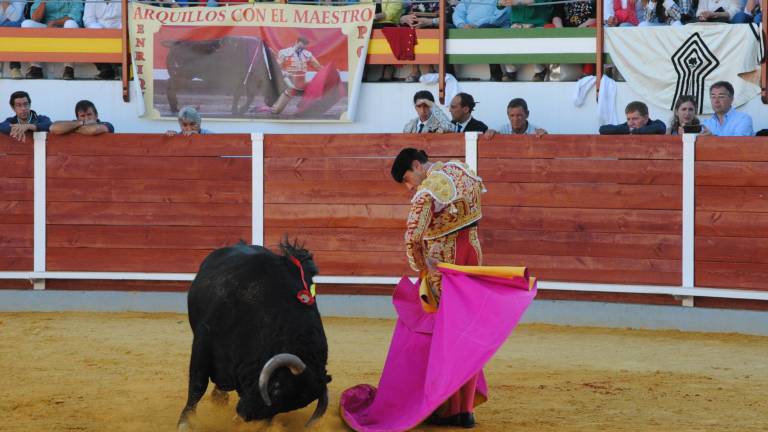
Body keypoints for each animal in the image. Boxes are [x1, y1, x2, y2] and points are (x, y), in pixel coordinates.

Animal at [178, 241, 332, 430]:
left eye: (288, 407)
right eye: (276, 387)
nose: (244, 414)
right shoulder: (203, 340)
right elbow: (197, 385)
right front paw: (185, 422)